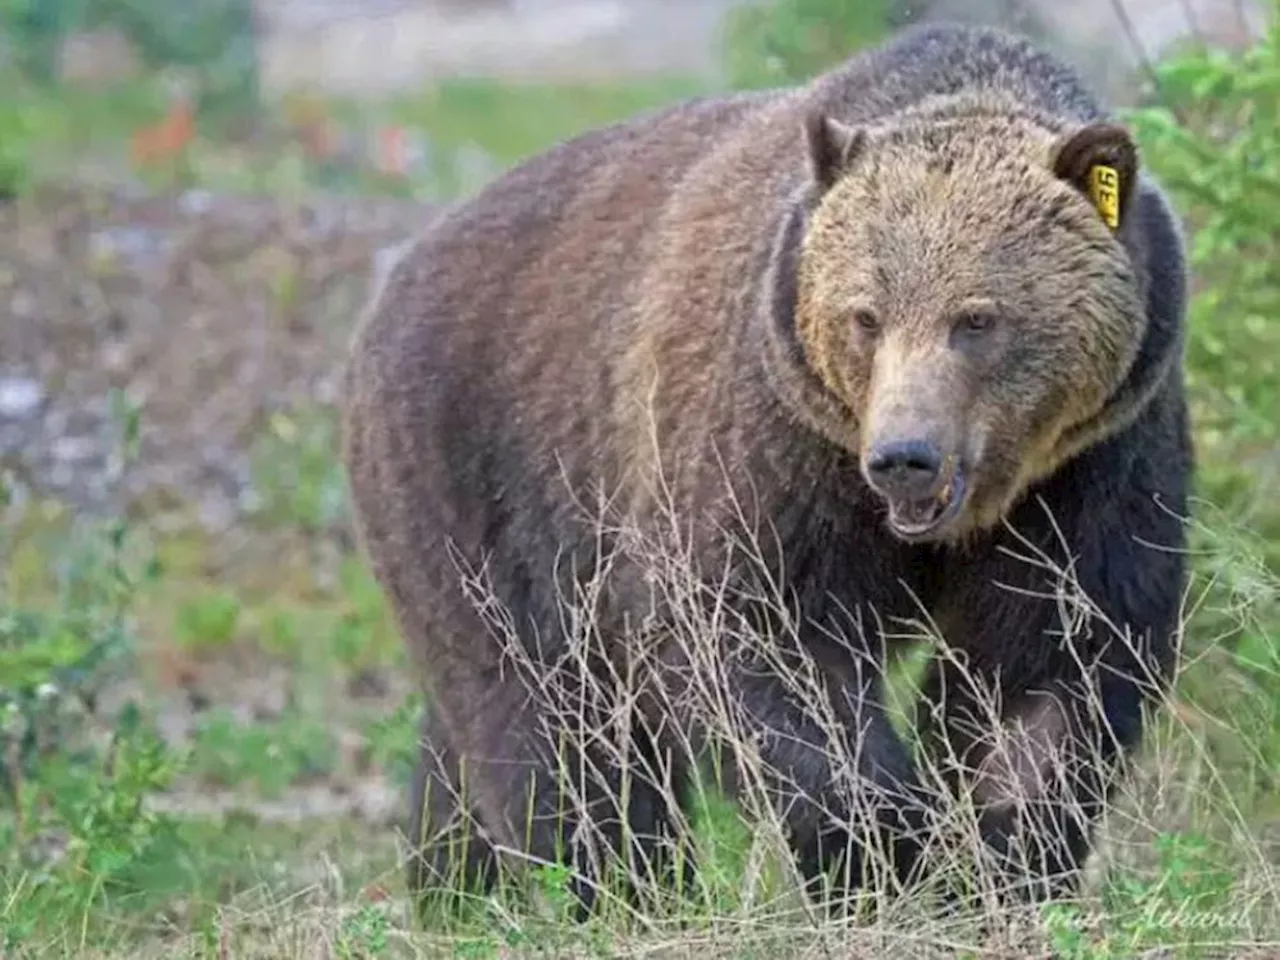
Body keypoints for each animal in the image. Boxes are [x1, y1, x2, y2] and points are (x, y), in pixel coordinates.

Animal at [340, 22, 1187, 916]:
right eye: (865, 316)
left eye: (977, 319)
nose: (905, 459)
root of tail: (399, 272)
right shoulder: (771, 442)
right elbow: (756, 635)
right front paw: (881, 853)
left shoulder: (1091, 463)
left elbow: (1054, 655)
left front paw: (995, 857)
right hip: (484, 473)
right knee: (548, 714)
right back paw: (616, 887)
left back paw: (454, 888)